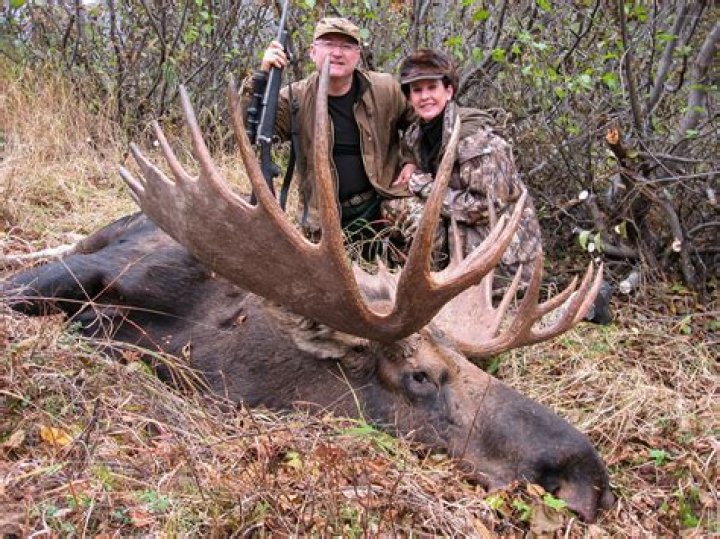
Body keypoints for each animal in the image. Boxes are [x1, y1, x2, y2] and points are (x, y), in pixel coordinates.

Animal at [1, 62, 615, 522]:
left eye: (474, 366)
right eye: (420, 376)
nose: (587, 470)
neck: (199, 343)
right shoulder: (115, 268)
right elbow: (21, 292)